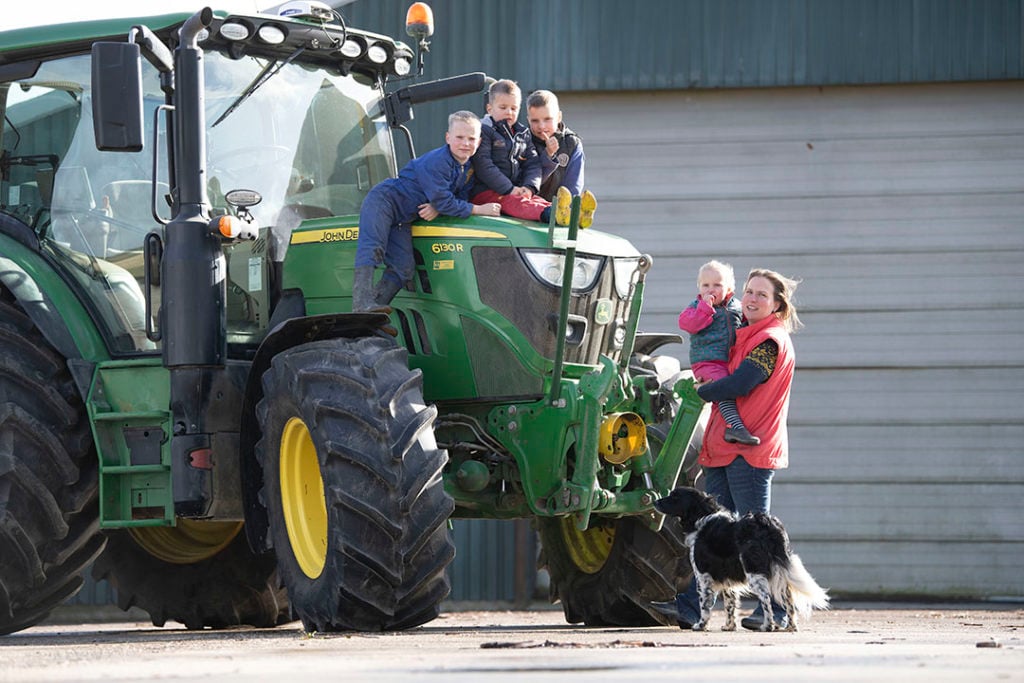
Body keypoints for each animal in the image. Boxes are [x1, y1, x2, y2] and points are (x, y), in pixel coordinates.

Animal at [655, 489, 831, 634]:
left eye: (674, 497)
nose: (655, 501)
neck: (701, 516)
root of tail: (766, 523)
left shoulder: (703, 576)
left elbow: (704, 604)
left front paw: (701, 625)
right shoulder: (727, 578)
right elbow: (730, 605)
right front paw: (729, 627)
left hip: (754, 572)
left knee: (766, 598)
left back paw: (768, 626)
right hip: (779, 573)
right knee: (788, 600)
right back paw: (791, 627)